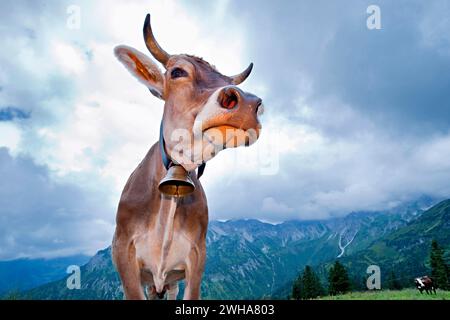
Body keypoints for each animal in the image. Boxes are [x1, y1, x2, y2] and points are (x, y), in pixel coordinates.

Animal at [110, 14, 262, 300]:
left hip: (169, 283)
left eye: (229, 81)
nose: (248, 103)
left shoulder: (197, 256)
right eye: (177, 72)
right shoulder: (124, 256)